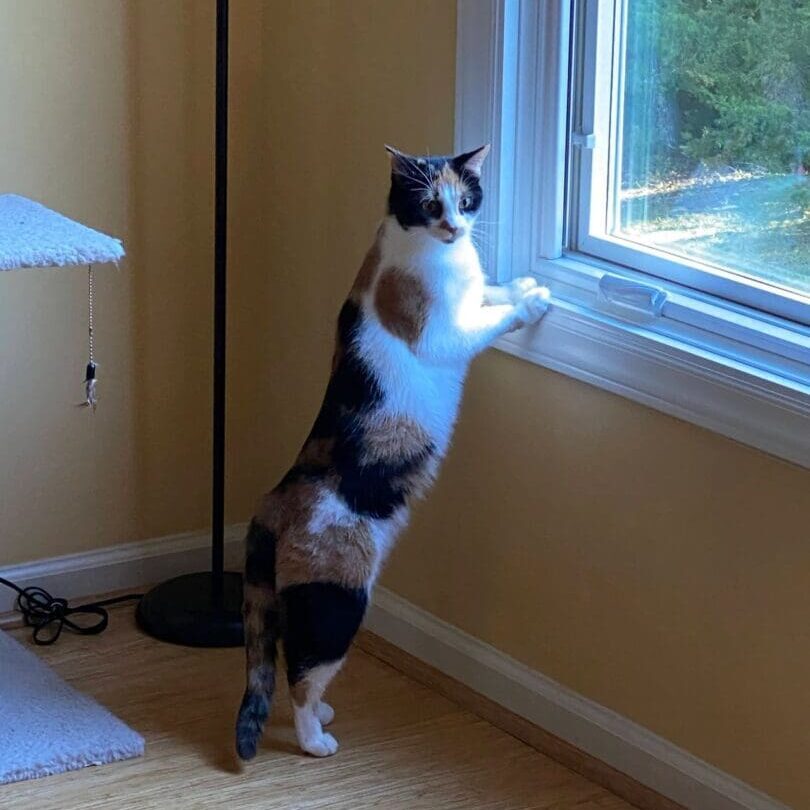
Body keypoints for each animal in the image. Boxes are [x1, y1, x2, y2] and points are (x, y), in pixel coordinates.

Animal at [234, 144, 548, 756]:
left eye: (466, 199)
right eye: (429, 204)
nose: (454, 227)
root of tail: (275, 497)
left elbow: (491, 289)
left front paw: (524, 284)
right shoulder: (445, 333)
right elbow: (489, 317)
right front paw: (530, 305)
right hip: (338, 602)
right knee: (299, 672)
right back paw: (315, 738)